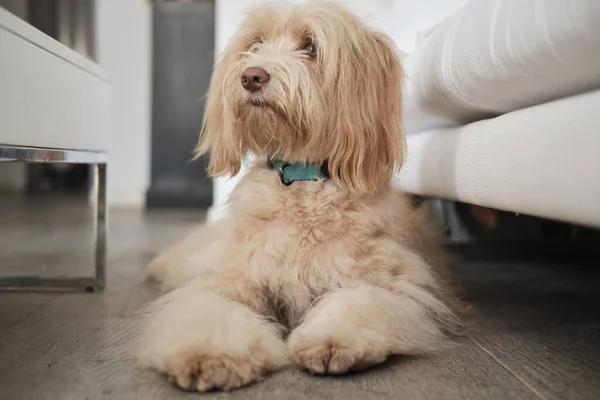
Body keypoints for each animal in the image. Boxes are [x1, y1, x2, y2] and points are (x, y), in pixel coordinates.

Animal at [137, 0, 464, 394]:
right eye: (256, 43)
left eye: (310, 47)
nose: (251, 76)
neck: (301, 181)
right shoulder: (227, 281)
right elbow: (211, 308)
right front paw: (210, 352)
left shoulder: (389, 284)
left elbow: (354, 303)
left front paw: (333, 340)